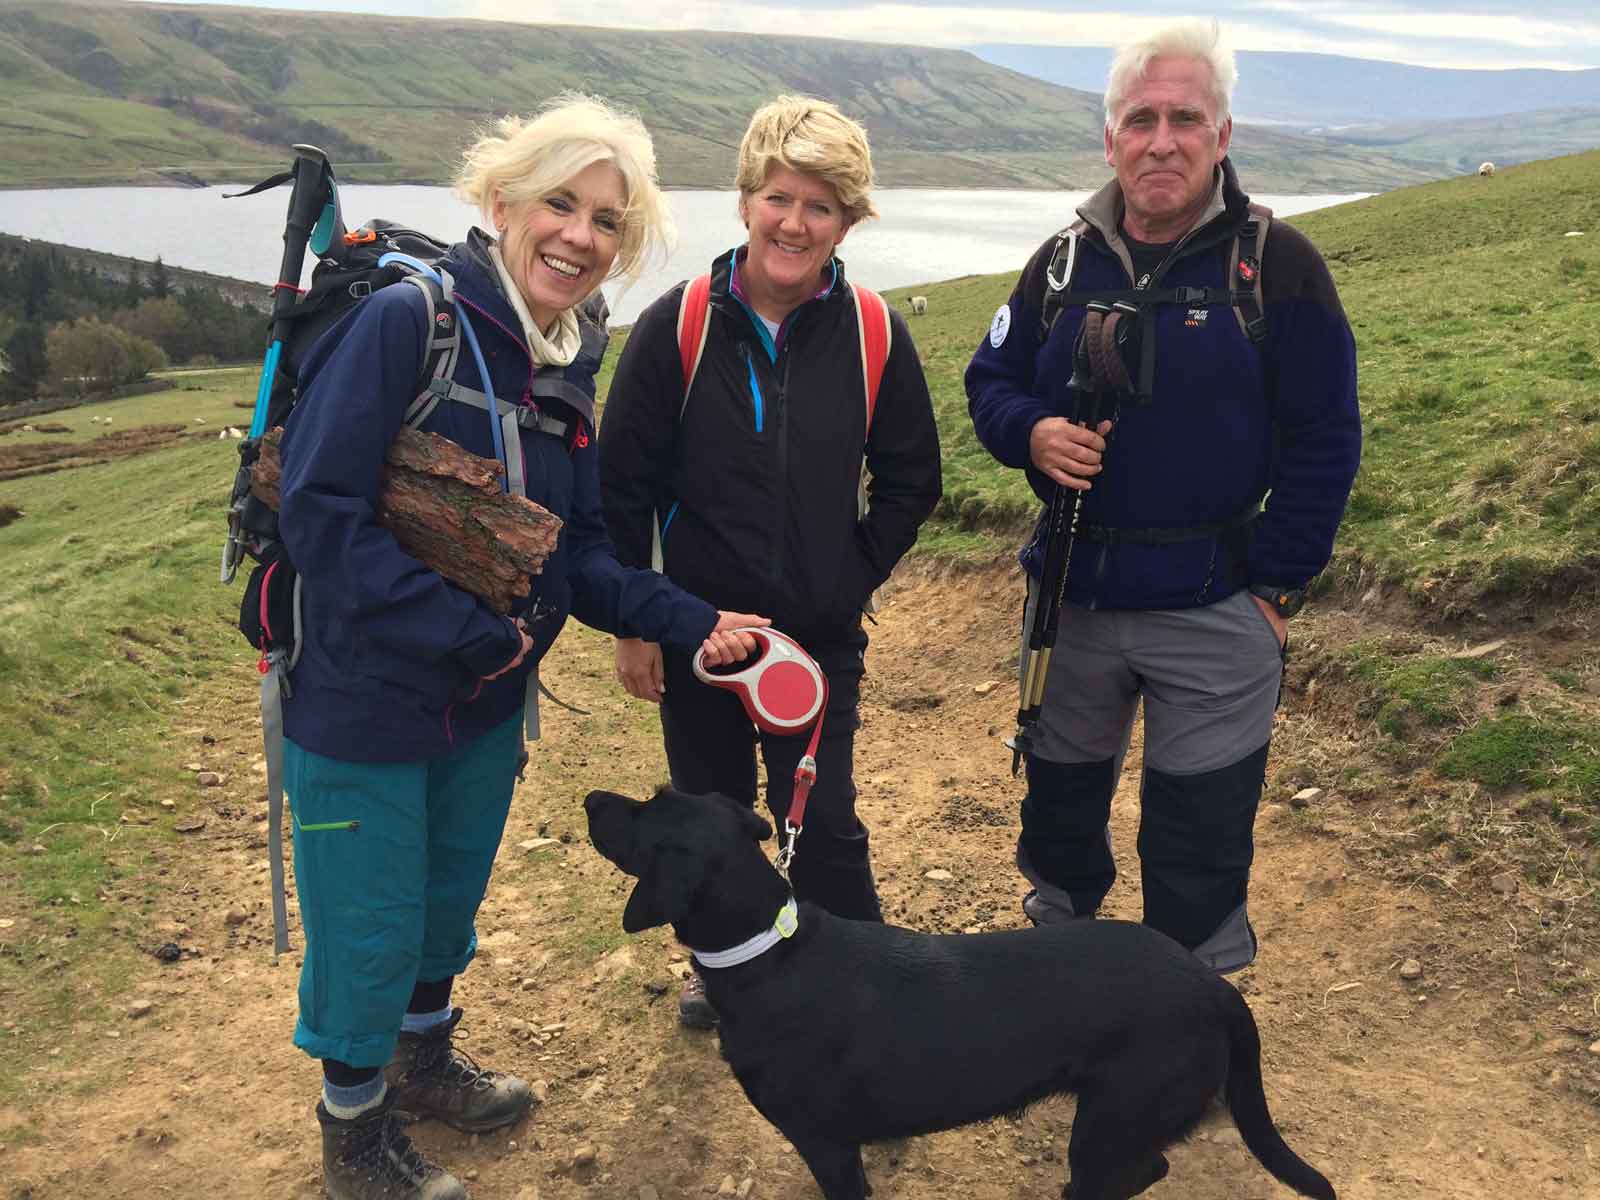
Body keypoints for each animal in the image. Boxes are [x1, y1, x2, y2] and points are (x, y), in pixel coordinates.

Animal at [588, 790, 1337, 1200]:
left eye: (646, 809)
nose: (593, 799)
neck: (769, 950)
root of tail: (1212, 984)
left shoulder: (824, 1142)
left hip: (1113, 1119)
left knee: (1140, 1168)